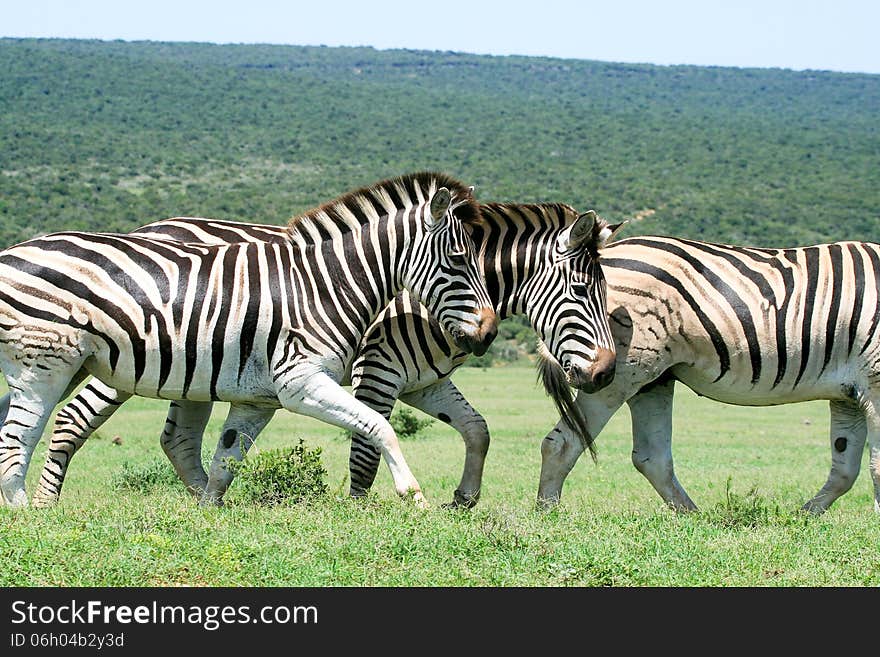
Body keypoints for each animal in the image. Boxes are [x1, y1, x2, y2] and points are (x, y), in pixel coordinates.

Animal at [0, 170, 502, 508]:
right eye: (459, 259)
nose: (489, 332)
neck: (326, 285)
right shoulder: (302, 381)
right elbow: (378, 427)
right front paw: (412, 496)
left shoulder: (257, 397)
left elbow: (227, 456)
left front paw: (208, 513)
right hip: (49, 364)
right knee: (22, 436)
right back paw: (31, 515)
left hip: (71, 367)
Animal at [29, 202, 620, 504]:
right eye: (579, 292)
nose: (606, 373)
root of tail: (147, 226)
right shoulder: (378, 372)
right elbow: (365, 449)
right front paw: (360, 510)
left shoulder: (425, 381)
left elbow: (477, 429)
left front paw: (464, 496)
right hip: (128, 361)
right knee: (74, 418)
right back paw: (44, 502)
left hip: (195, 372)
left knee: (178, 439)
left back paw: (204, 500)